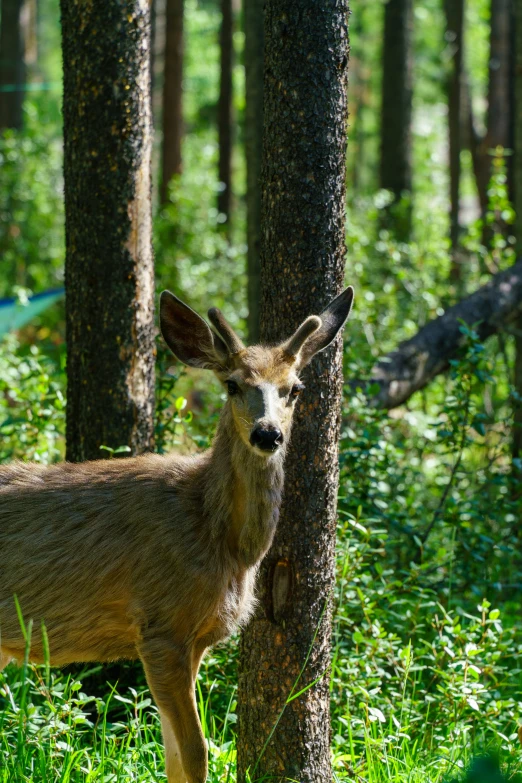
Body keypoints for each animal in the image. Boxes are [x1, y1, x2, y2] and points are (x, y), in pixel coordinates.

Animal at [0, 284, 354, 780]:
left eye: (295, 389)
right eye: (232, 384)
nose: (267, 434)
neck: (220, 538)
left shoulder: (196, 639)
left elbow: (172, 753)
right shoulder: (160, 626)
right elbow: (196, 750)